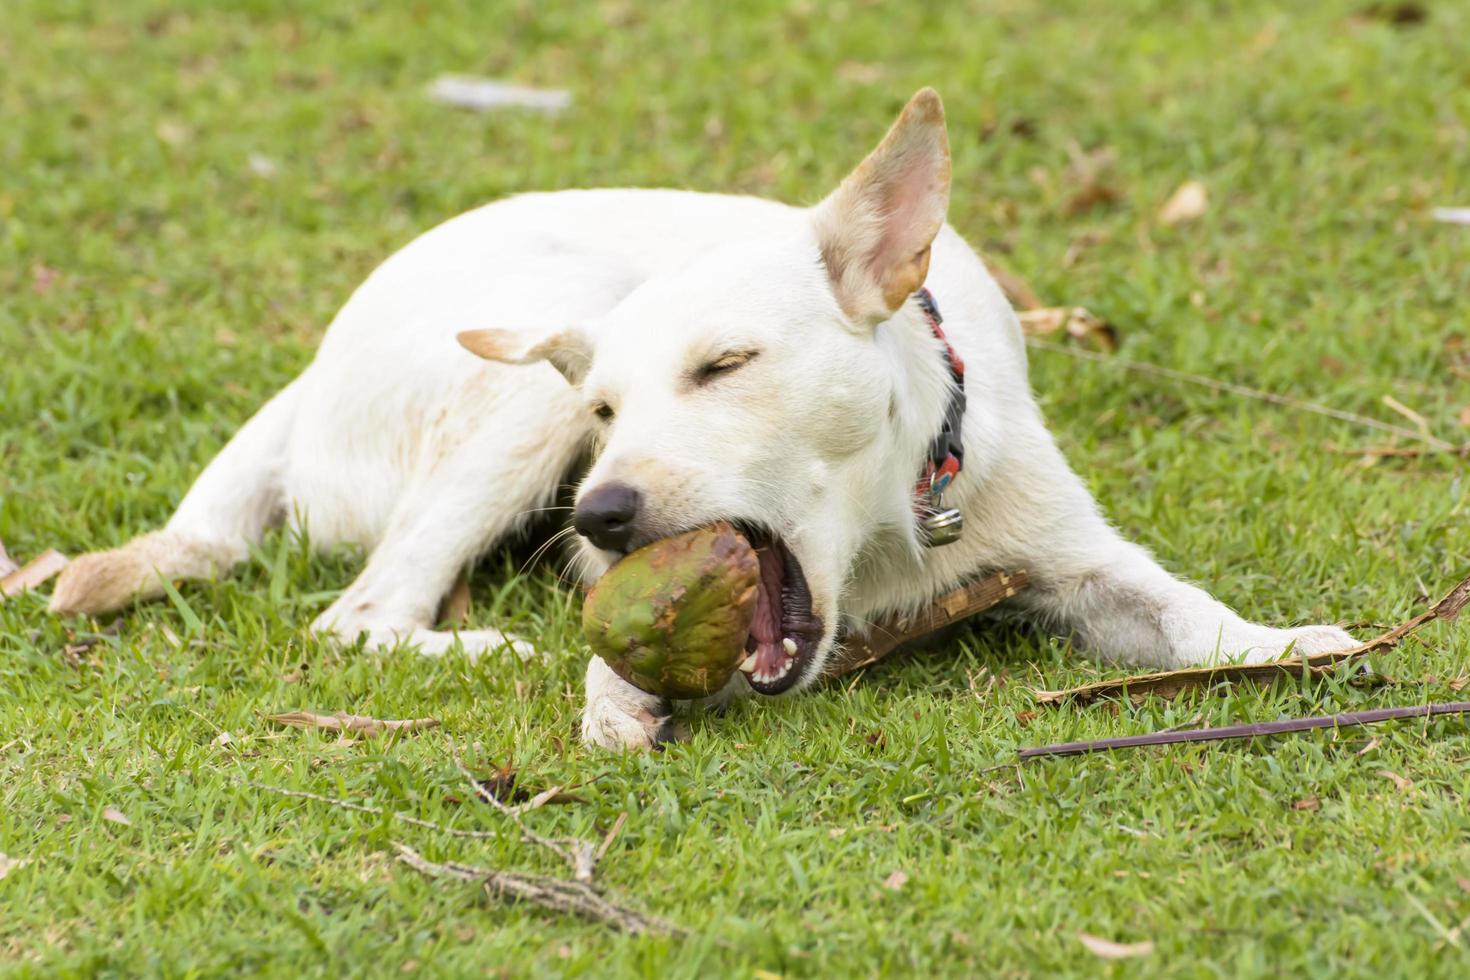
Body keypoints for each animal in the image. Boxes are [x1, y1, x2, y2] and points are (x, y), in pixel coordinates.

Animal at [45, 91, 1352, 752]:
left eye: (727, 365)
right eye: (608, 408)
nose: (599, 513)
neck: (887, 542)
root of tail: (310, 374)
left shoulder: (1071, 552)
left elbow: (1183, 611)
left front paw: (1279, 640)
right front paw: (614, 694)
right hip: (523, 371)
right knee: (360, 615)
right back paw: (484, 642)